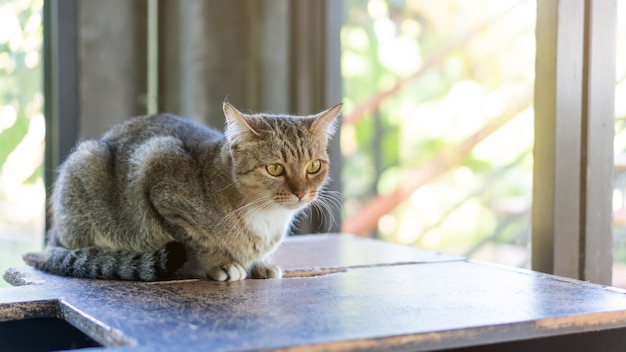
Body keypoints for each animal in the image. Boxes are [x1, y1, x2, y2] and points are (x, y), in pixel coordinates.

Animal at [23, 101, 342, 280]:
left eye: (314, 166)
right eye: (275, 168)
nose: (301, 193)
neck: (266, 217)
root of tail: (53, 237)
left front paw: (259, 264)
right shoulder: (158, 175)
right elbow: (199, 242)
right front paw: (222, 264)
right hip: (86, 164)